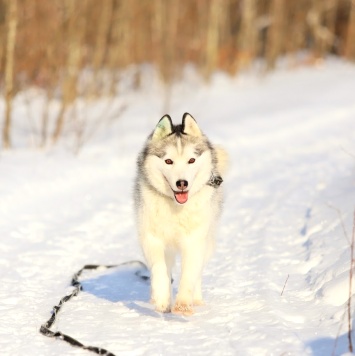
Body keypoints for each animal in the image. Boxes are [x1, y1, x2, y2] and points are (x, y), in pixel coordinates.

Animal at [134, 112, 228, 316]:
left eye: (191, 160)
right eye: (168, 161)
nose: (182, 183)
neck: (176, 207)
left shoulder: (194, 241)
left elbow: (189, 274)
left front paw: (183, 303)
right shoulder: (152, 238)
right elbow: (159, 269)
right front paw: (162, 299)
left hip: (207, 242)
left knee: (198, 273)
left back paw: (196, 299)